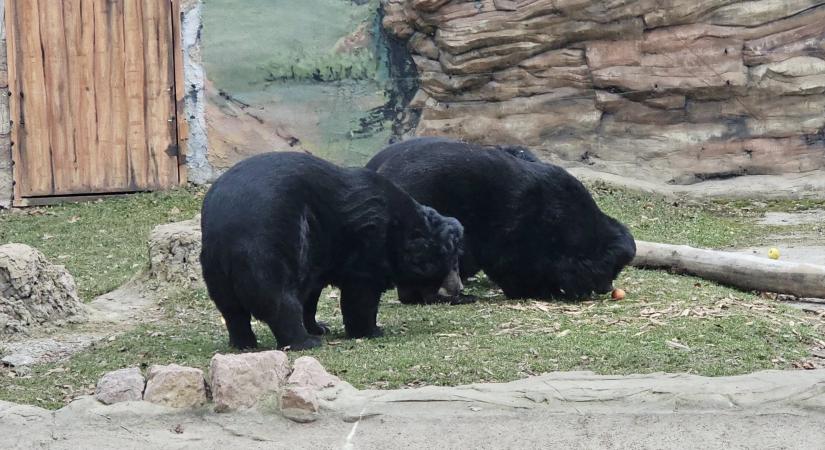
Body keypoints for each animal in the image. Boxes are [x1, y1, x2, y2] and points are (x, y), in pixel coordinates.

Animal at [200, 152, 464, 352]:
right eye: (451, 263)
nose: (457, 287)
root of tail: (228, 226)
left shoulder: (320, 254)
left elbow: (311, 292)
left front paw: (320, 326)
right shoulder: (368, 241)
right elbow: (361, 291)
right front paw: (371, 330)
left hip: (215, 265)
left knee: (231, 308)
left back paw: (243, 343)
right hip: (267, 246)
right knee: (278, 298)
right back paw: (304, 342)